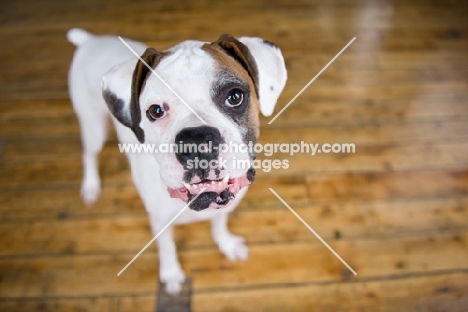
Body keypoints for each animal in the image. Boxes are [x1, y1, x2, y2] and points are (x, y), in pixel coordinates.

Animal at [66, 28, 286, 294]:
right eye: (156, 111)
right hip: (93, 127)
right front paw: (171, 274)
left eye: (234, 96)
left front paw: (226, 244)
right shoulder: (159, 221)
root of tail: (90, 40)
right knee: (89, 154)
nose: (197, 140)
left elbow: (219, 224)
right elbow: (167, 247)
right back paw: (90, 187)